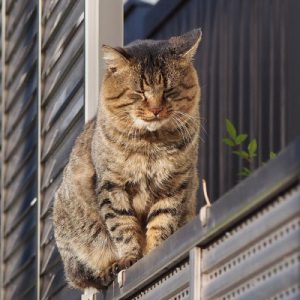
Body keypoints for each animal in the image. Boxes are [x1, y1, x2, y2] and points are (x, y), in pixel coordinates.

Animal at [53, 28, 203, 290]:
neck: (151, 144)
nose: (156, 110)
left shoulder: (175, 184)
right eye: (139, 93)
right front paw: (130, 258)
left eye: (169, 91)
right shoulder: (112, 185)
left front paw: (154, 252)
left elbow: (162, 220)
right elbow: (122, 226)